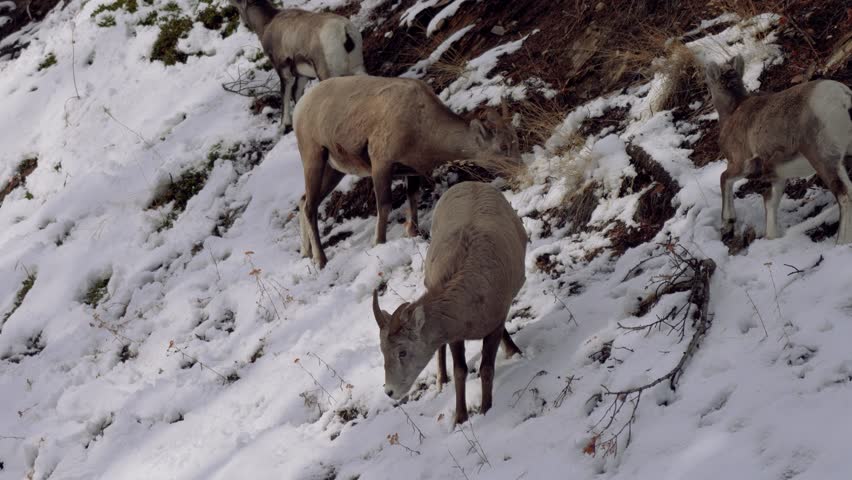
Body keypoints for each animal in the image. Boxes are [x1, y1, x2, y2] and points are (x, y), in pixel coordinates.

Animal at [229, 0, 366, 134]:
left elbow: (285, 94)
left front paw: (284, 126)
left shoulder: (284, 72)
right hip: (357, 68)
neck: (267, 23)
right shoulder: (302, 76)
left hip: (328, 77)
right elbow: (297, 93)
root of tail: (343, 31)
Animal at [293, 75, 521, 269]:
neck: (422, 124)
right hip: (314, 158)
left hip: (333, 171)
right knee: (310, 207)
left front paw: (414, 232)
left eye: (514, 141)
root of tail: (299, 108)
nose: (520, 171)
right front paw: (379, 243)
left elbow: (413, 197)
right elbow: (384, 206)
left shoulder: (412, 172)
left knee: (304, 201)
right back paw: (320, 260)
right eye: (502, 147)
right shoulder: (381, 164)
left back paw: (306, 253)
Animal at [372, 181, 526, 425]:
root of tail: (469, 183)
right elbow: (460, 371)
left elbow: (486, 369)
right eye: (382, 351)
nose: (390, 391)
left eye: (402, 352)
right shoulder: (455, 336)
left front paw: (486, 410)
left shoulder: (495, 324)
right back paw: (441, 380)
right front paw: (460, 418)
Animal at [705, 55, 852, 243]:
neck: (733, 111)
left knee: (844, 194)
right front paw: (772, 237)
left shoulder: (741, 165)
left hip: (824, 160)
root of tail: (843, 98)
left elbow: (724, 179)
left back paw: (842, 242)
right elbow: (770, 202)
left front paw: (727, 224)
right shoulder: (777, 176)